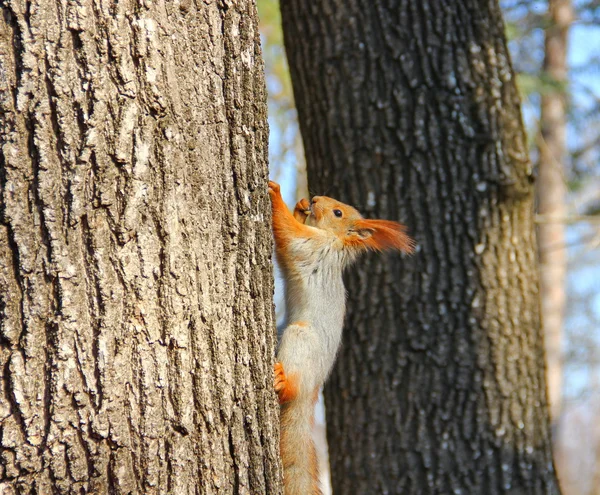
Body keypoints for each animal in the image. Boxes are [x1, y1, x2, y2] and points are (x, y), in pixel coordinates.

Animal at [268, 182, 412, 495]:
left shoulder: (312, 247)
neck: (333, 240)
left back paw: (283, 379)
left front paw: (276, 195)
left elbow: (288, 234)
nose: (314, 198)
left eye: (337, 212)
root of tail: (311, 394)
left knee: (292, 388)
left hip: (301, 339)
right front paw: (299, 207)